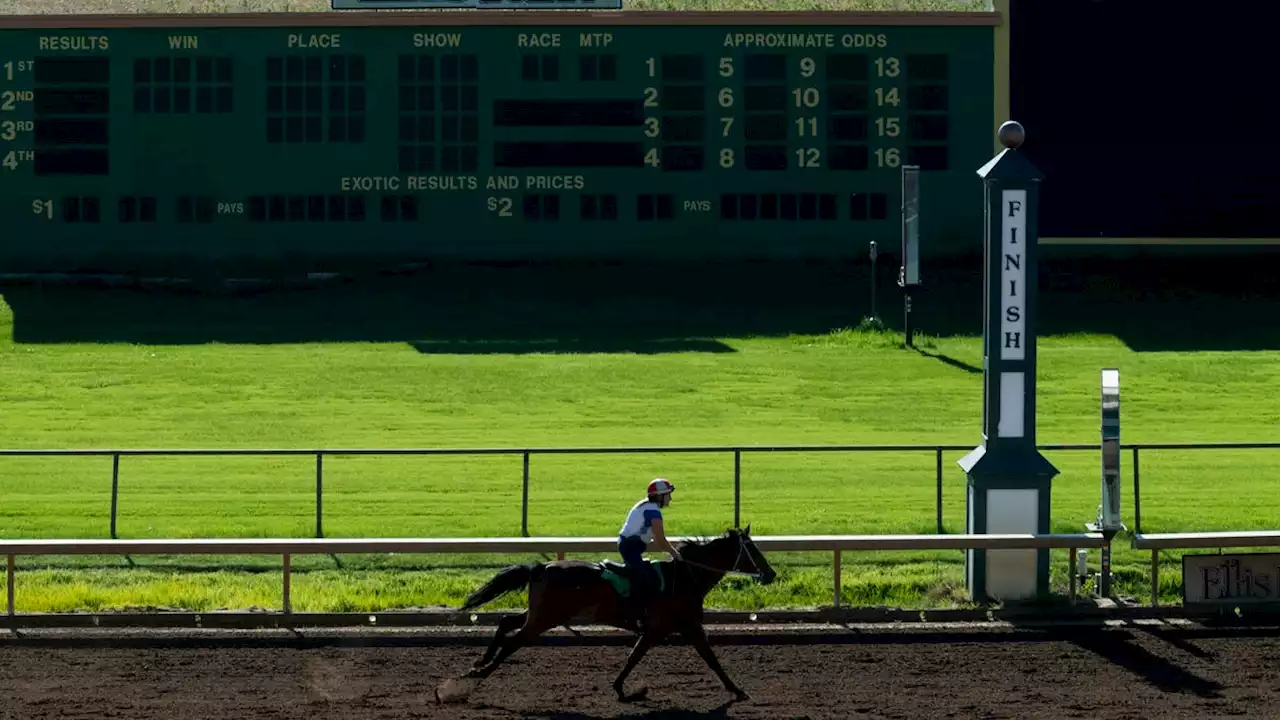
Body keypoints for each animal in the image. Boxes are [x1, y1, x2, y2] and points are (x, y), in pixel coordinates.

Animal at [435, 520, 773, 702]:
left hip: (544, 614)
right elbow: (710, 659)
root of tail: (541, 567)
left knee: (506, 622)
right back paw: (473, 677)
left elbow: (635, 656)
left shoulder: (664, 629)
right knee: (512, 642)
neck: (686, 577)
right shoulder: (679, 626)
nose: (770, 574)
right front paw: (738, 690)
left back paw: (479, 663)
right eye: (753, 550)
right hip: (544, 619)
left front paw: (621, 687)